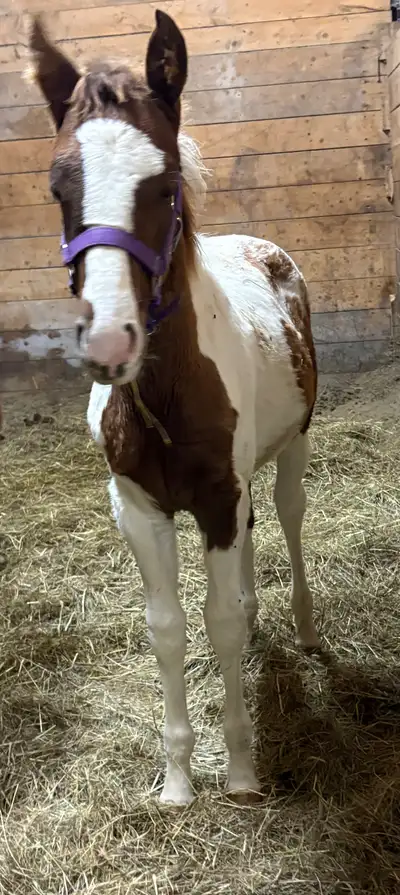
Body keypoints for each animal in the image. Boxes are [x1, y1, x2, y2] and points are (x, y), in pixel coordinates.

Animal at [28, 10, 320, 806]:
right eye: (58, 186)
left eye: (163, 185)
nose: (109, 340)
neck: (165, 397)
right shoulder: (139, 506)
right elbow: (168, 626)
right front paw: (179, 780)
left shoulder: (218, 496)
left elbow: (217, 621)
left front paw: (243, 773)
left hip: (291, 448)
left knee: (286, 518)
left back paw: (305, 630)